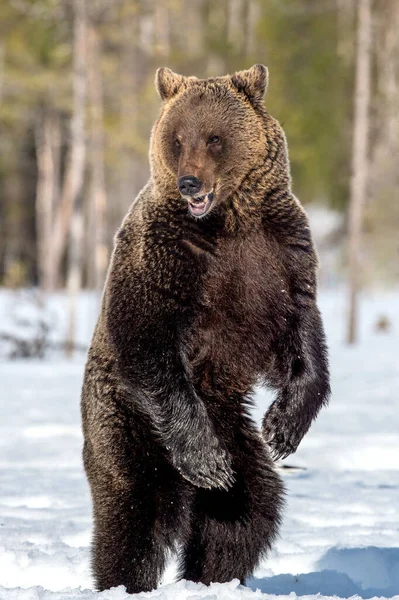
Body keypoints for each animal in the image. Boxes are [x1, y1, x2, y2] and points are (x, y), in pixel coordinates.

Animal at [81, 63, 332, 592]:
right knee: (135, 511)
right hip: (128, 422)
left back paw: (213, 576)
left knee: (245, 511)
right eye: (177, 138)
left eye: (214, 138)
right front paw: (205, 460)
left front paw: (283, 427)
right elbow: (147, 335)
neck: (228, 221)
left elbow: (302, 334)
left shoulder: (281, 257)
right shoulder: (165, 257)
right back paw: (128, 579)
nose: (189, 183)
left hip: (234, 432)